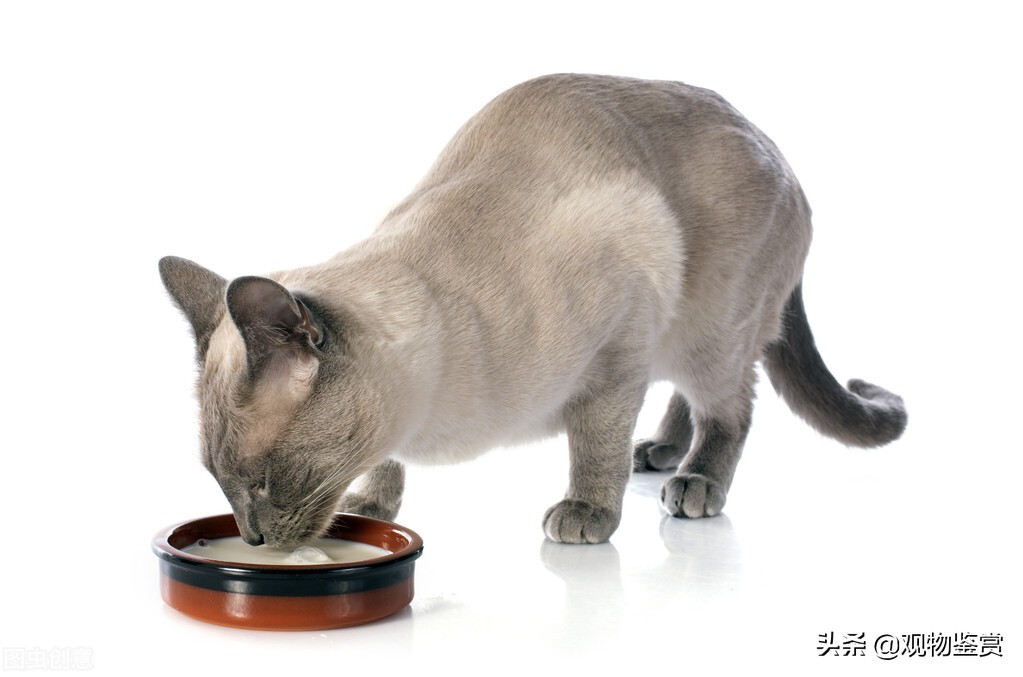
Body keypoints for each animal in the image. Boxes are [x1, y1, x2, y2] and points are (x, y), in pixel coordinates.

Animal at [157, 74, 904, 548]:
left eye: (263, 481)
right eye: (220, 484)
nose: (253, 538)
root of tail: (777, 149)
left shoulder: (615, 360)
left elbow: (593, 446)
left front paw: (587, 514)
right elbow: (384, 463)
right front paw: (369, 505)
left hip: (710, 327)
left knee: (731, 406)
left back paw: (693, 481)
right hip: (682, 336)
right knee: (687, 399)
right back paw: (659, 452)